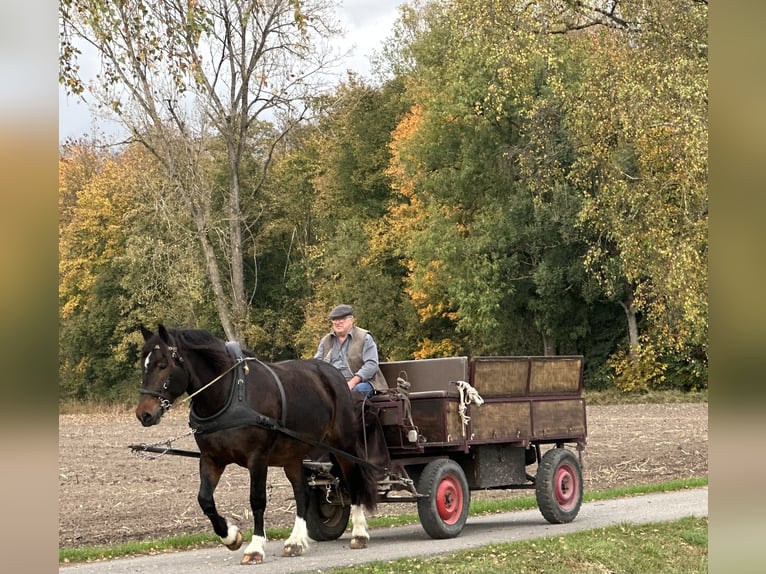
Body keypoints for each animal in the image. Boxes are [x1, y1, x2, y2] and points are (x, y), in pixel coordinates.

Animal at [137, 326, 380, 564]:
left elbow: (257, 500)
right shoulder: (211, 458)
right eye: (144, 365)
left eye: (163, 365)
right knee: (302, 493)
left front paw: (254, 547)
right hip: (293, 455)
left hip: (343, 445)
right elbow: (205, 500)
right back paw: (295, 541)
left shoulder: (258, 458)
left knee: (353, 482)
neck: (230, 395)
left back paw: (359, 534)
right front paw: (230, 536)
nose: (144, 414)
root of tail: (332, 373)